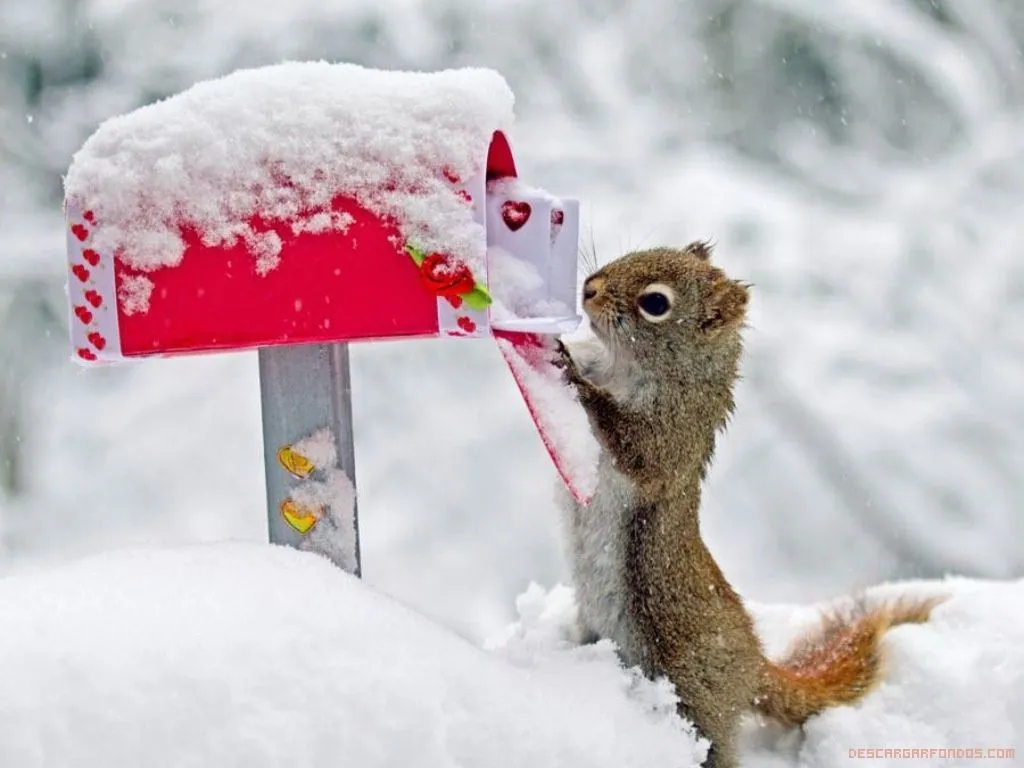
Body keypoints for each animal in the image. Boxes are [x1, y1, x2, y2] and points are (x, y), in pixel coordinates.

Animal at [557, 244, 937, 768]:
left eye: (655, 303)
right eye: (638, 251)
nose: (589, 289)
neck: (625, 365)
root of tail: (754, 663)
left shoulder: (673, 436)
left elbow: (635, 448)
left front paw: (577, 379)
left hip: (696, 690)